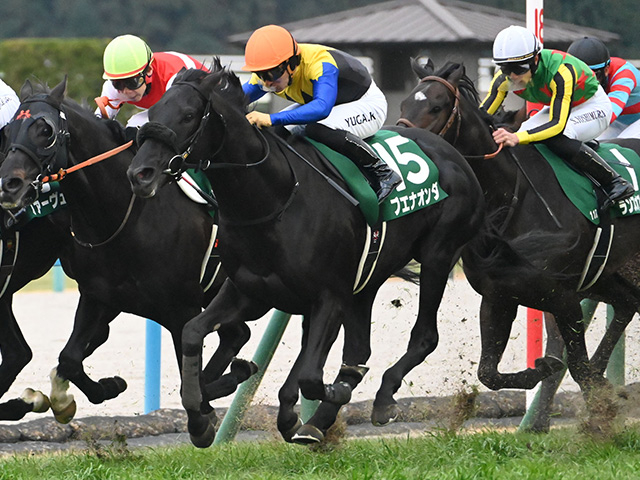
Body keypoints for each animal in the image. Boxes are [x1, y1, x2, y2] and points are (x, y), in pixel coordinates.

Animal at [0, 77, 256, 423]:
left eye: (46, 130)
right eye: (10, 130)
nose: (9, 184)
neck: (126, 216)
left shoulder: (181, 309)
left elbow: (191, 379)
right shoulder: (99, 295)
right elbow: (69, 358)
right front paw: (92, 391)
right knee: (236, 335)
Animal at [126, 61, 485, 447]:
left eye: (189, 115)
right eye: (152, 113)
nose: (140, 174)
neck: (275, 199)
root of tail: (451, 152)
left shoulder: (328, 296)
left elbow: (310, 376)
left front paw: (321, 399)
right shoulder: (250, 293)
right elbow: (194, 334)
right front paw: (201, 419)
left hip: (438, 255)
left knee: (423, 337)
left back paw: (382, 398)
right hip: (367, 279)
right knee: (358, 352)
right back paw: (320, 419)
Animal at [397, 58, 640, 428]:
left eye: (436, 107)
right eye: (403, 104)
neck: (512, 199)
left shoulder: (563, 297)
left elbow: (578, 368)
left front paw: (599, 422)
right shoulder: (499, 295)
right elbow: (488, 373)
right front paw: (544, 368)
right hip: (604, 275)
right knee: (628, 303)